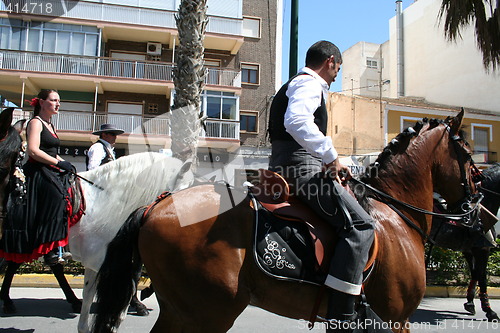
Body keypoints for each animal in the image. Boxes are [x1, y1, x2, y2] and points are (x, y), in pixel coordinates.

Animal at [93, 110, 476, 330]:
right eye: (469, 154)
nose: (475, 202)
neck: (396, 217)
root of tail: (157, 205)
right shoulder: (396, 320)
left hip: (183, 310)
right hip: (209, 312)